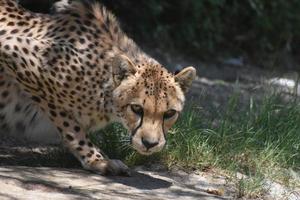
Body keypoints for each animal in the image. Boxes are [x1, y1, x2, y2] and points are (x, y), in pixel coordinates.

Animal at [0, 0, 197, 174]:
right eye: (136, 108)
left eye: (169, 113)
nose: (150, 144)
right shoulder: (13, 49)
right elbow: (71, 125)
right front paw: (97, 160)